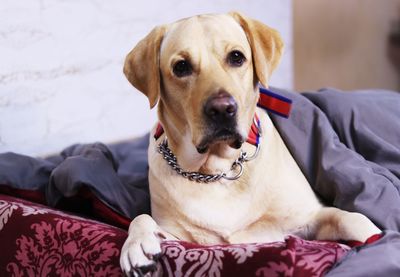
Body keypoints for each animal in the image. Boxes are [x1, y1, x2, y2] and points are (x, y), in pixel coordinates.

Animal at [119, 11, 382, 274]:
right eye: (181, 66)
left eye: (236, 57)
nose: (222, 109)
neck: (219, 170)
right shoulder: (184, 239)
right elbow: (141, 218)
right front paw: (137, 244)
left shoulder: (309, 215)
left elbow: (352, 219)